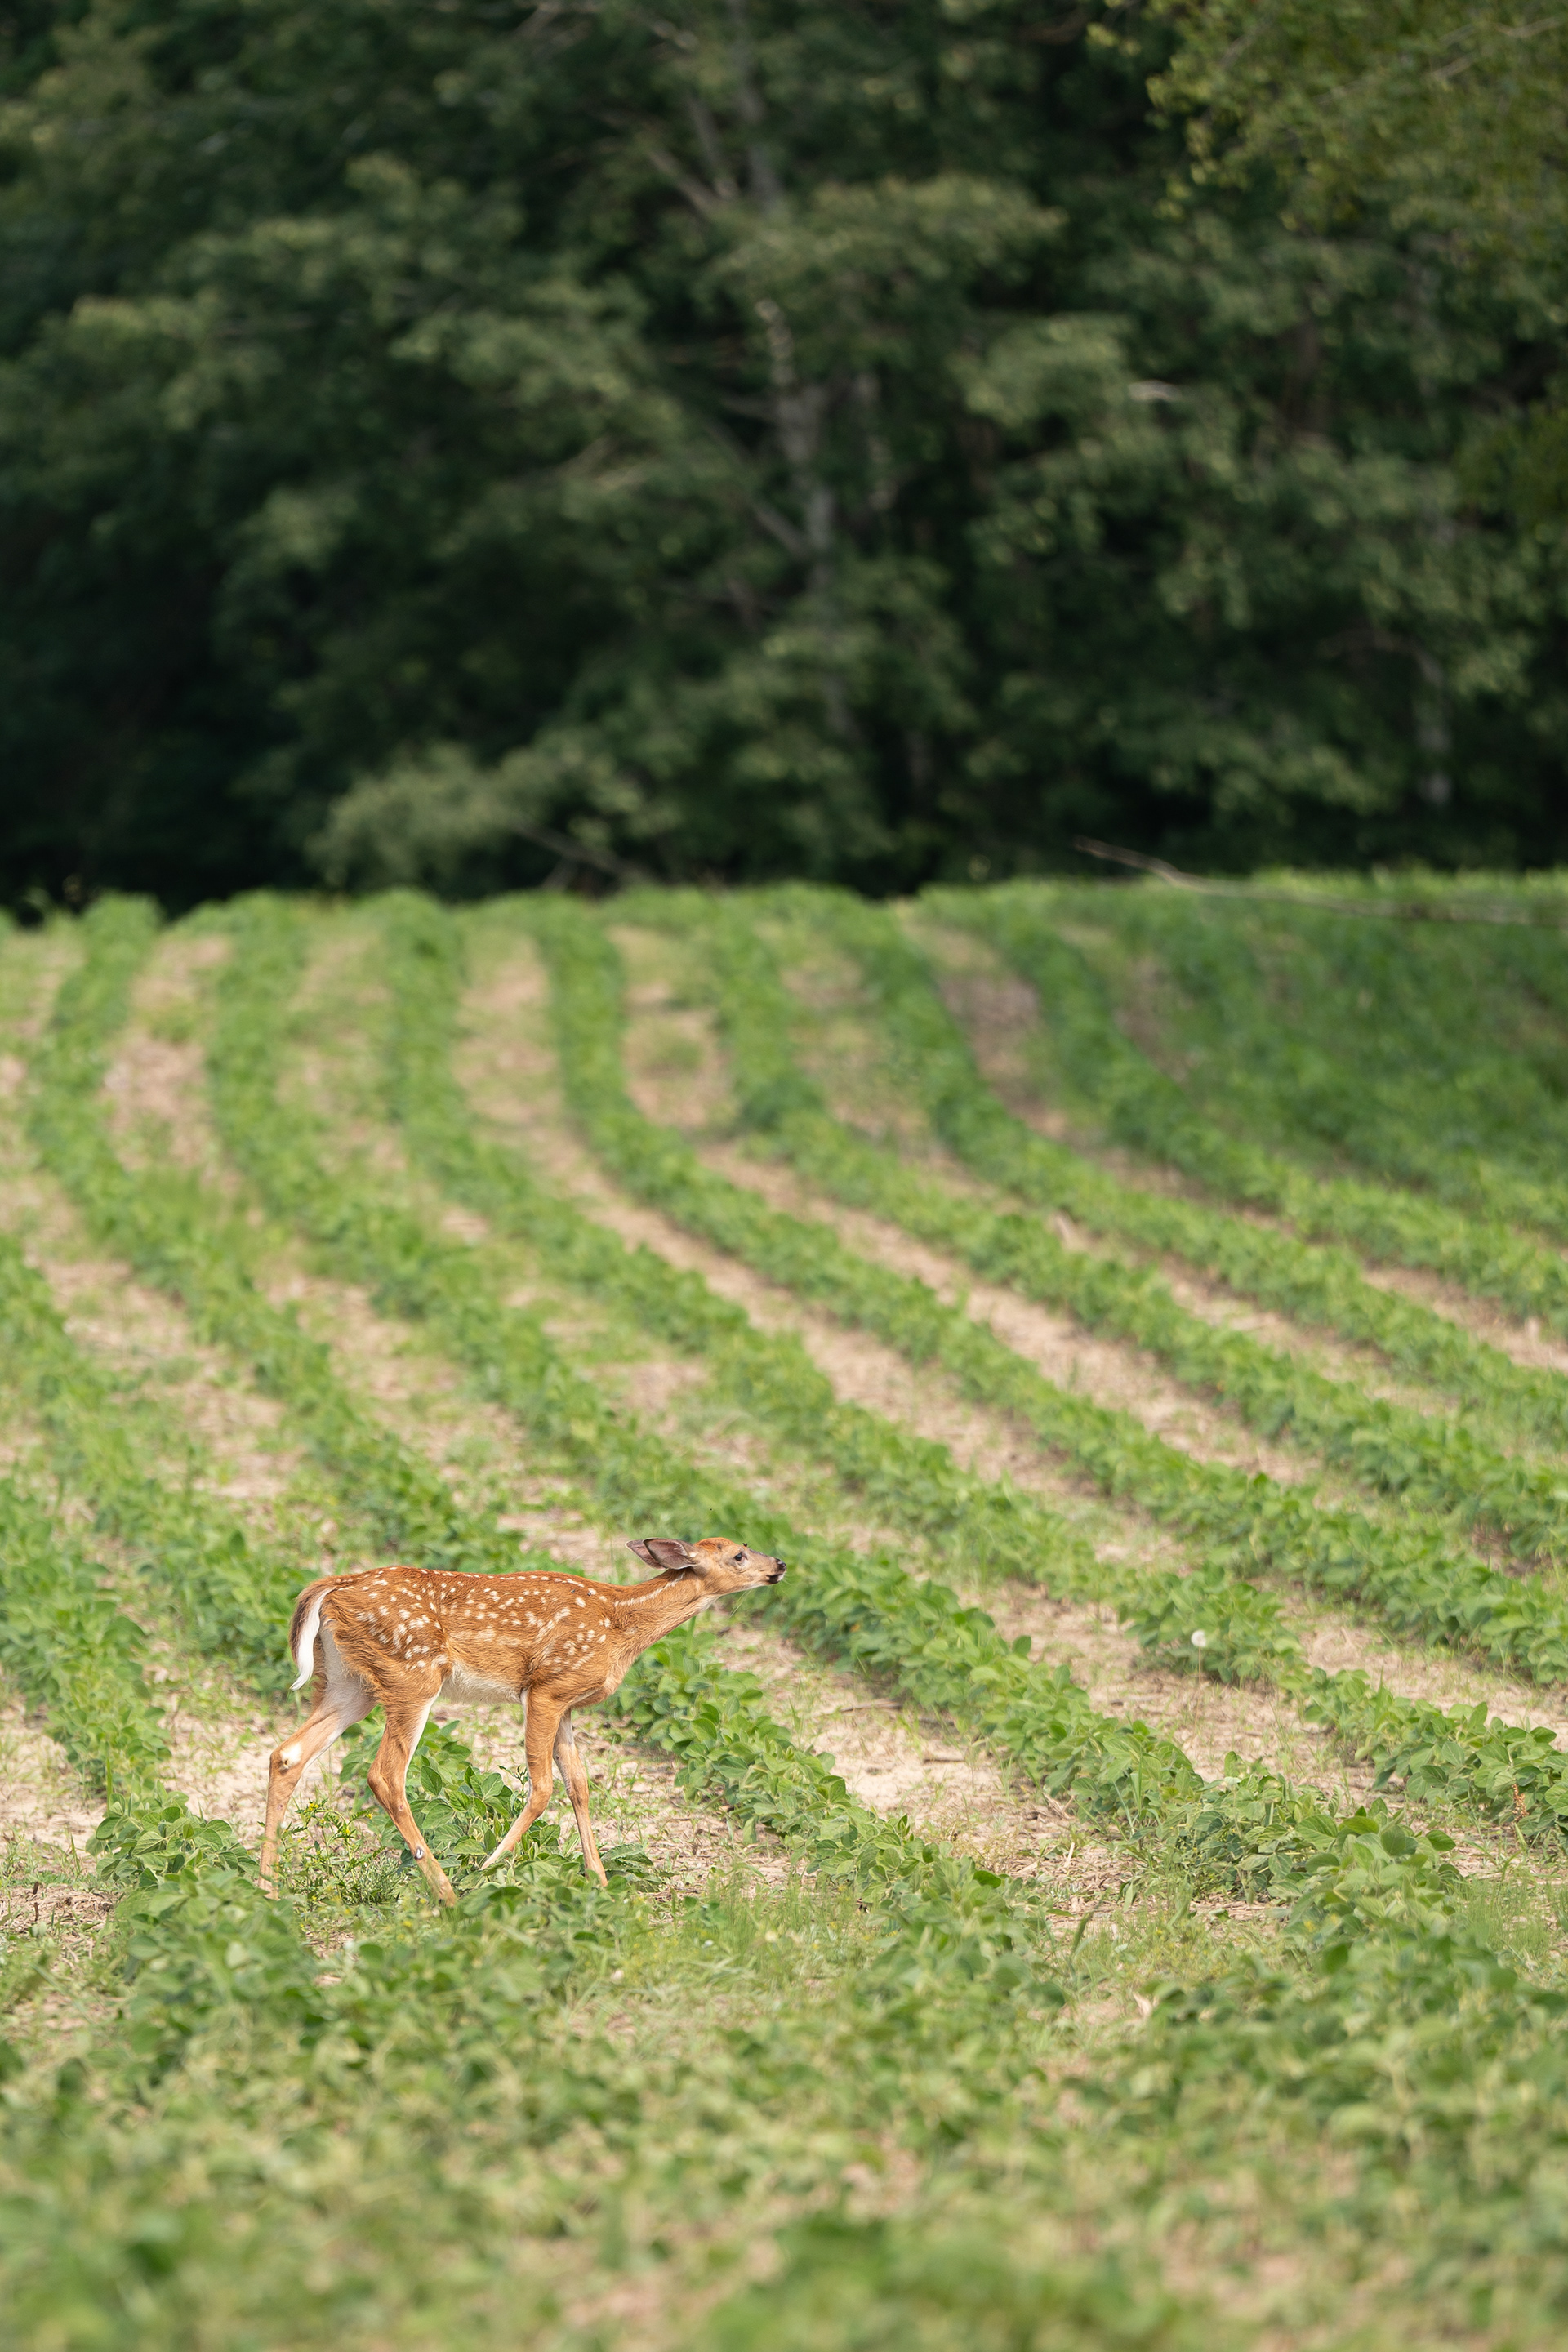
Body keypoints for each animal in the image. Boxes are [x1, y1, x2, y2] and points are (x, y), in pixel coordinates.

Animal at [258, 1536, 787, 1905]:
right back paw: (448, 1892)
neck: (621, 1623)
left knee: (288, 1754)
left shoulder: (568, 1703)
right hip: (412, 1674)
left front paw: (600, 1881)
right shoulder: (546, 1688)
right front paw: (488, 1870)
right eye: (739, 1554)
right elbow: (544, 1787)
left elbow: (579, 1784)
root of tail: (329, 1588)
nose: (779, 1565)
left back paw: (268, 1888)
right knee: (385, 1774)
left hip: (352, 1683)